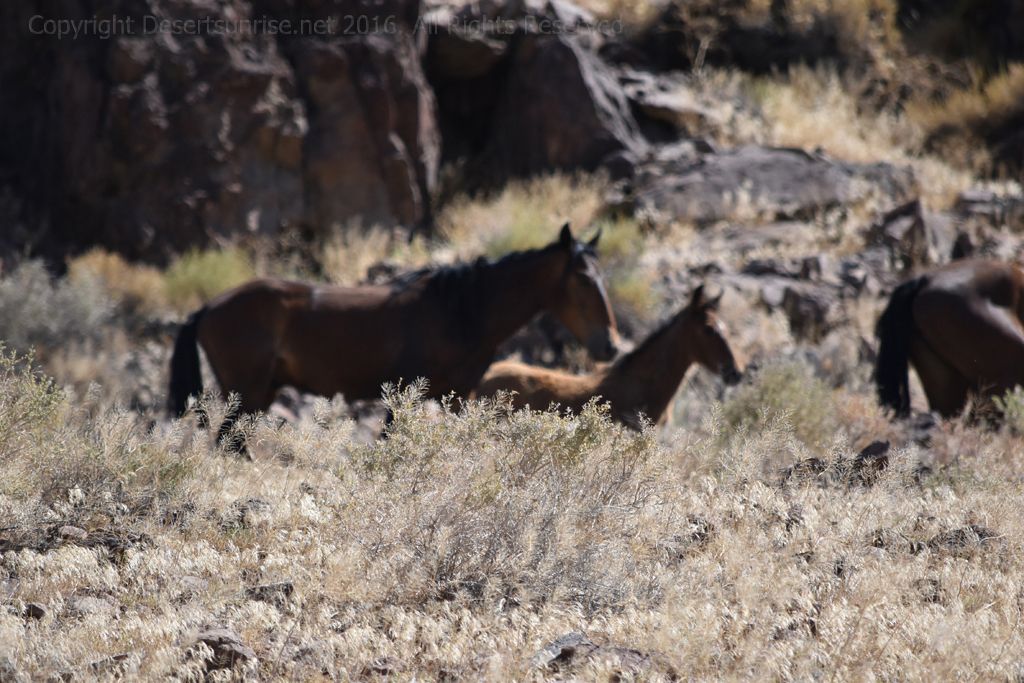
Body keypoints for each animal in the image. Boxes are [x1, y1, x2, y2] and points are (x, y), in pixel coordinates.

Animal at [168, 222, 618, 440]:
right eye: (582, 279)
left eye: (603, 276)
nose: (610, 346)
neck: (461, 311)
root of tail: (208, 307)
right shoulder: (408, 394)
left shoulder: (458, 396)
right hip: (248, 393)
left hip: (259, 393)